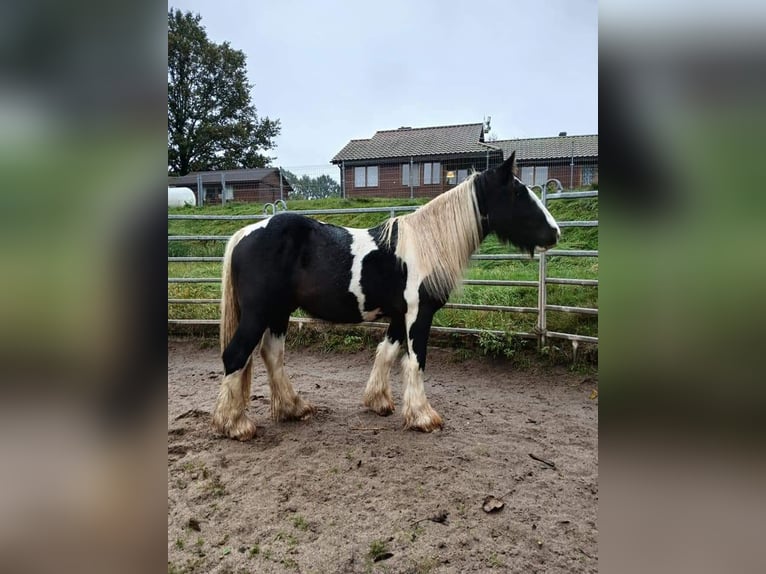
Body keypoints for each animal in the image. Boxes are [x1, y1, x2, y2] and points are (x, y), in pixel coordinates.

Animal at [213, 153, 560, 440]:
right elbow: (416, 361)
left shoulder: (399, 315)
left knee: (272, 354)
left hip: (279, 312)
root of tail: (243, 234)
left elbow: (387, 353)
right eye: (519, 193)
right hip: (259, 313)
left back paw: (293, 408)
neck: (426, 246)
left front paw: (379, 402)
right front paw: (423, 417)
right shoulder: (419, 314)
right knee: (236, 355)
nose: (555, 233)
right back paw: (235, 425)